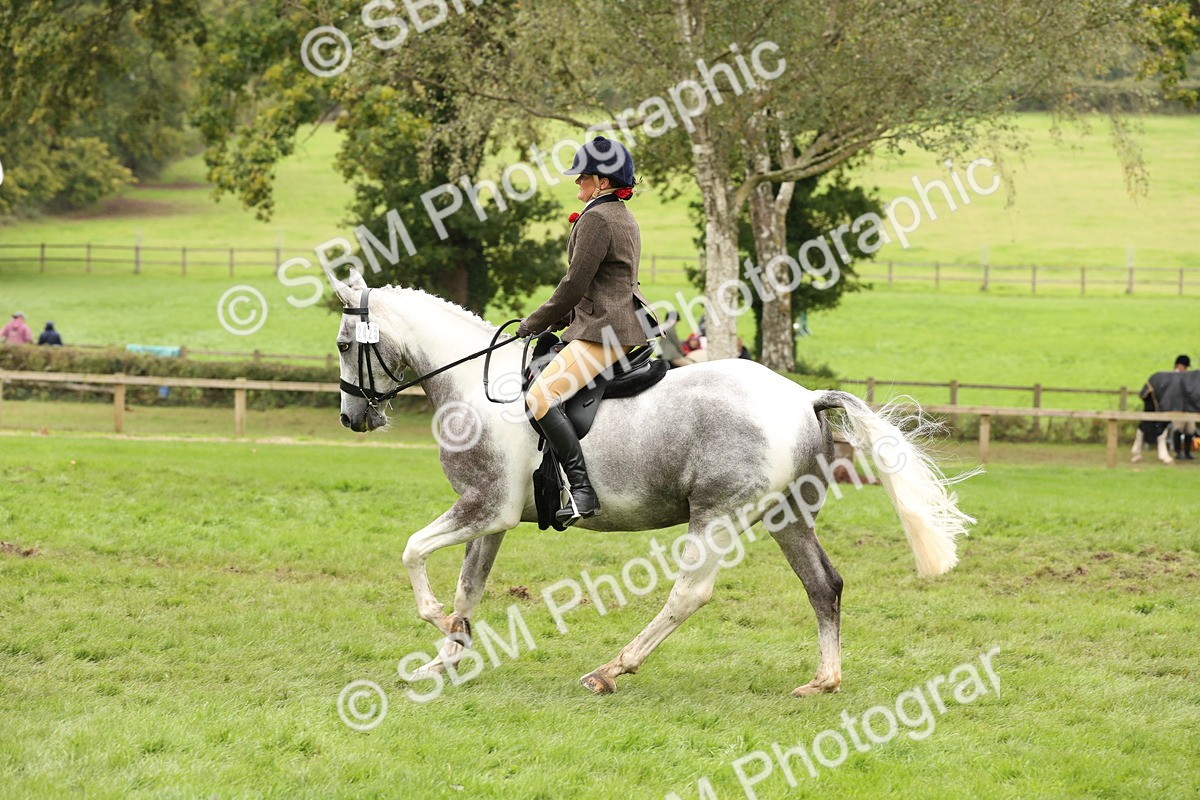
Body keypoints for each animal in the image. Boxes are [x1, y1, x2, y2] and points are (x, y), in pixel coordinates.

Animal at [330, 270, 977, 697]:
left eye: (342, 345)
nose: (352, 418)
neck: (474, 386)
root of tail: (802, 396)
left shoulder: (484, 507)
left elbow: (412, 551)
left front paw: (442, 627)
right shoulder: (492, 517)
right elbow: (469, 588)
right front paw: (444, 658)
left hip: (716, 515)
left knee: (690, 594)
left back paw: (610, 671)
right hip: (786, 516)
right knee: (824, 585)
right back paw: (824, 680)